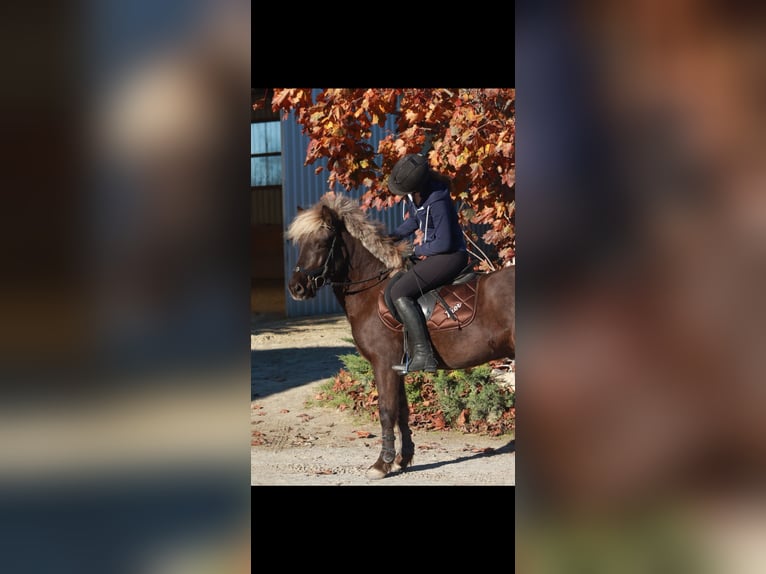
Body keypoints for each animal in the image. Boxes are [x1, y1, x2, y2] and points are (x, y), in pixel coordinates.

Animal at [286, 192, 515, 479]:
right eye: (300, 243)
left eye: (322, 242)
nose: (296, 288)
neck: (371, 291)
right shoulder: (398, 366)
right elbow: (402, 412)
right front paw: (402, 459)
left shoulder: (383, 364)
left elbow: (386, 411)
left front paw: (380, 464)